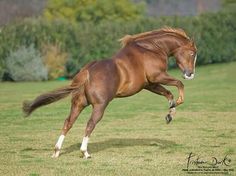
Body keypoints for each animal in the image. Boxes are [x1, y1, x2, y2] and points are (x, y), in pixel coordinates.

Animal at [23, 26, 197, 159]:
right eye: (192, 53)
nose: (190, 74)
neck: (152, 48)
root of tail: (87, 71)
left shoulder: (149, 84)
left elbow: (168, 94)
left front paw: (170, 113)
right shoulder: (157, 77)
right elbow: (179, 84)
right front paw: (178, 102)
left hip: (78, 104)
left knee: (68, 123)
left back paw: (57, 152)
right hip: (100, 106)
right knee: (89, 125)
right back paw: (85, 152)